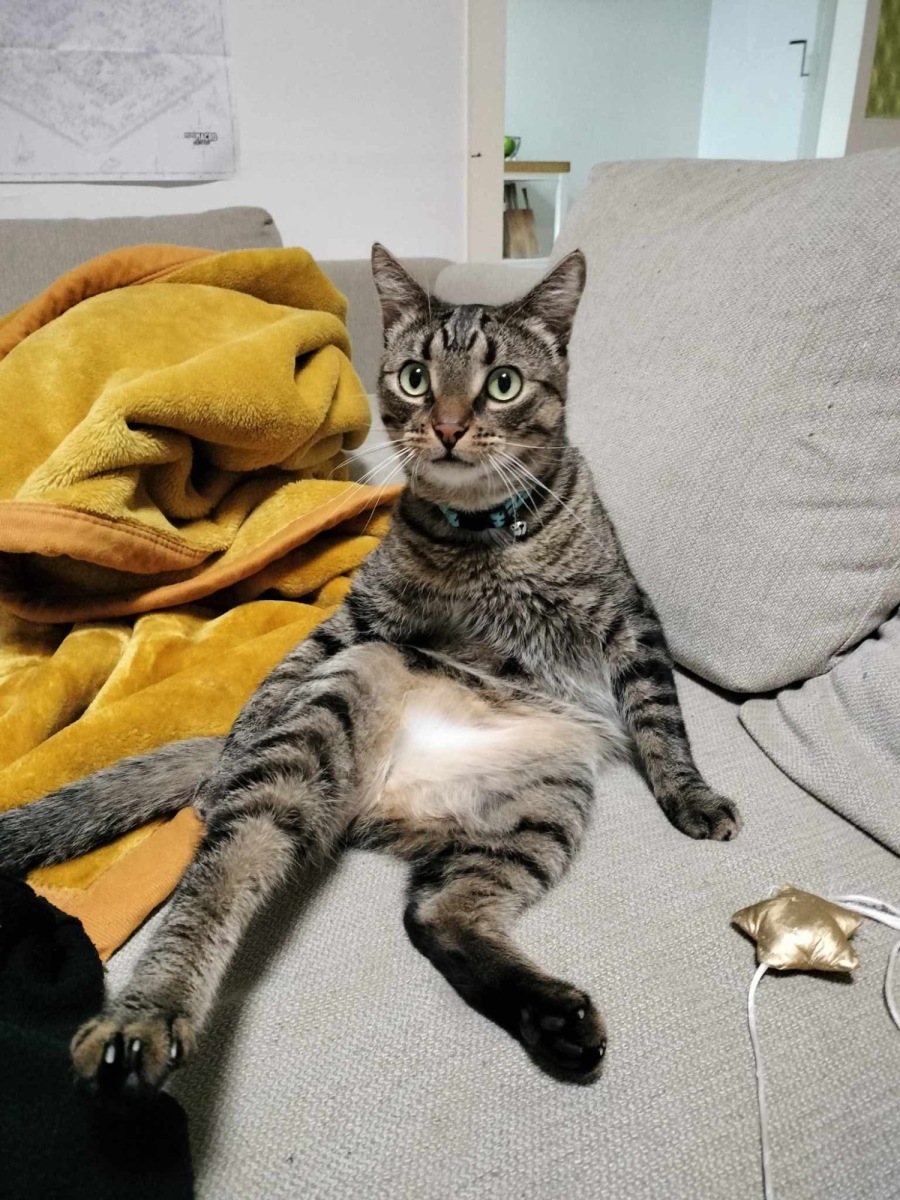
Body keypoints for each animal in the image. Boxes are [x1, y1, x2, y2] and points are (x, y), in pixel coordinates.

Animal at [0, 245, 741, 1095]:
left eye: (502, 383)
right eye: (416, 377)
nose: (447, 427)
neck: (488, 539)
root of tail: (385, 797)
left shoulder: (628, 615)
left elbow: (660, 718)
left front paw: (690, 795)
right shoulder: (359, 619)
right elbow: (282, 670)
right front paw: (244, 729)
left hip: (537, 810)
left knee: (436, 914)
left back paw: (555, 1020)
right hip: (338, 713)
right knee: (230, 864)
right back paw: (146, 1017)